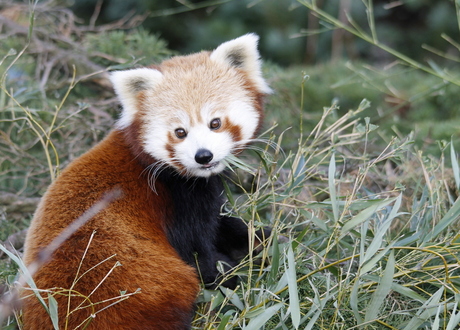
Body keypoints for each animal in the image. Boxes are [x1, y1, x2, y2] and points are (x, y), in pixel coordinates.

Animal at [21, 34, 272, 330]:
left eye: (215, 123)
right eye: (180, 132)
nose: (203, 156)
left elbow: (225, 225)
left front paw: (256, 238)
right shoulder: (177, 202)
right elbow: (198, 254)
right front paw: (226, 273)